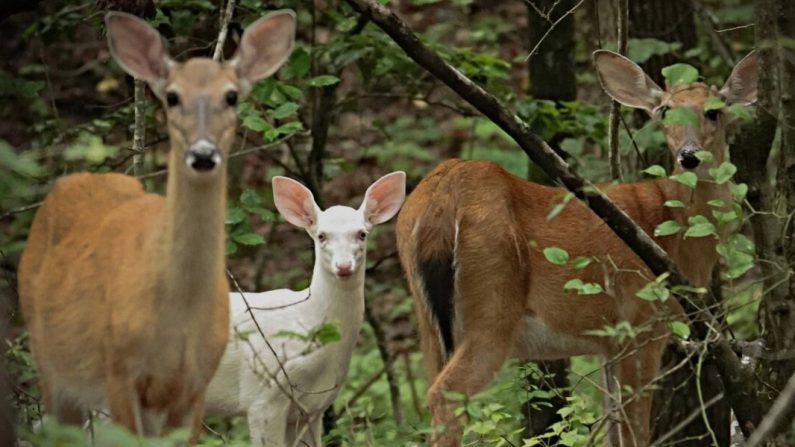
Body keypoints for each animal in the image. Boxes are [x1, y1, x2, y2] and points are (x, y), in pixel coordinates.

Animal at [15, 10, 296, 440]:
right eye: (173, 96)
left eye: (231, 96)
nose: (202, 154)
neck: (177, 314)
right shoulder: (119, 371)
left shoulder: (195, 384)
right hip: (50, 363)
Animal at [398, 50, 760, 446]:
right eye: (665, 110)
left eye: (714, 110)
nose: (689, 155)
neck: (674, 232)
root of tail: (439, 196)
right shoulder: (641, 326)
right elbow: (635, 430)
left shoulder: (608, 343)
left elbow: (613, 428)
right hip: (492, 303)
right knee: (445, 396)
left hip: (428, 321)